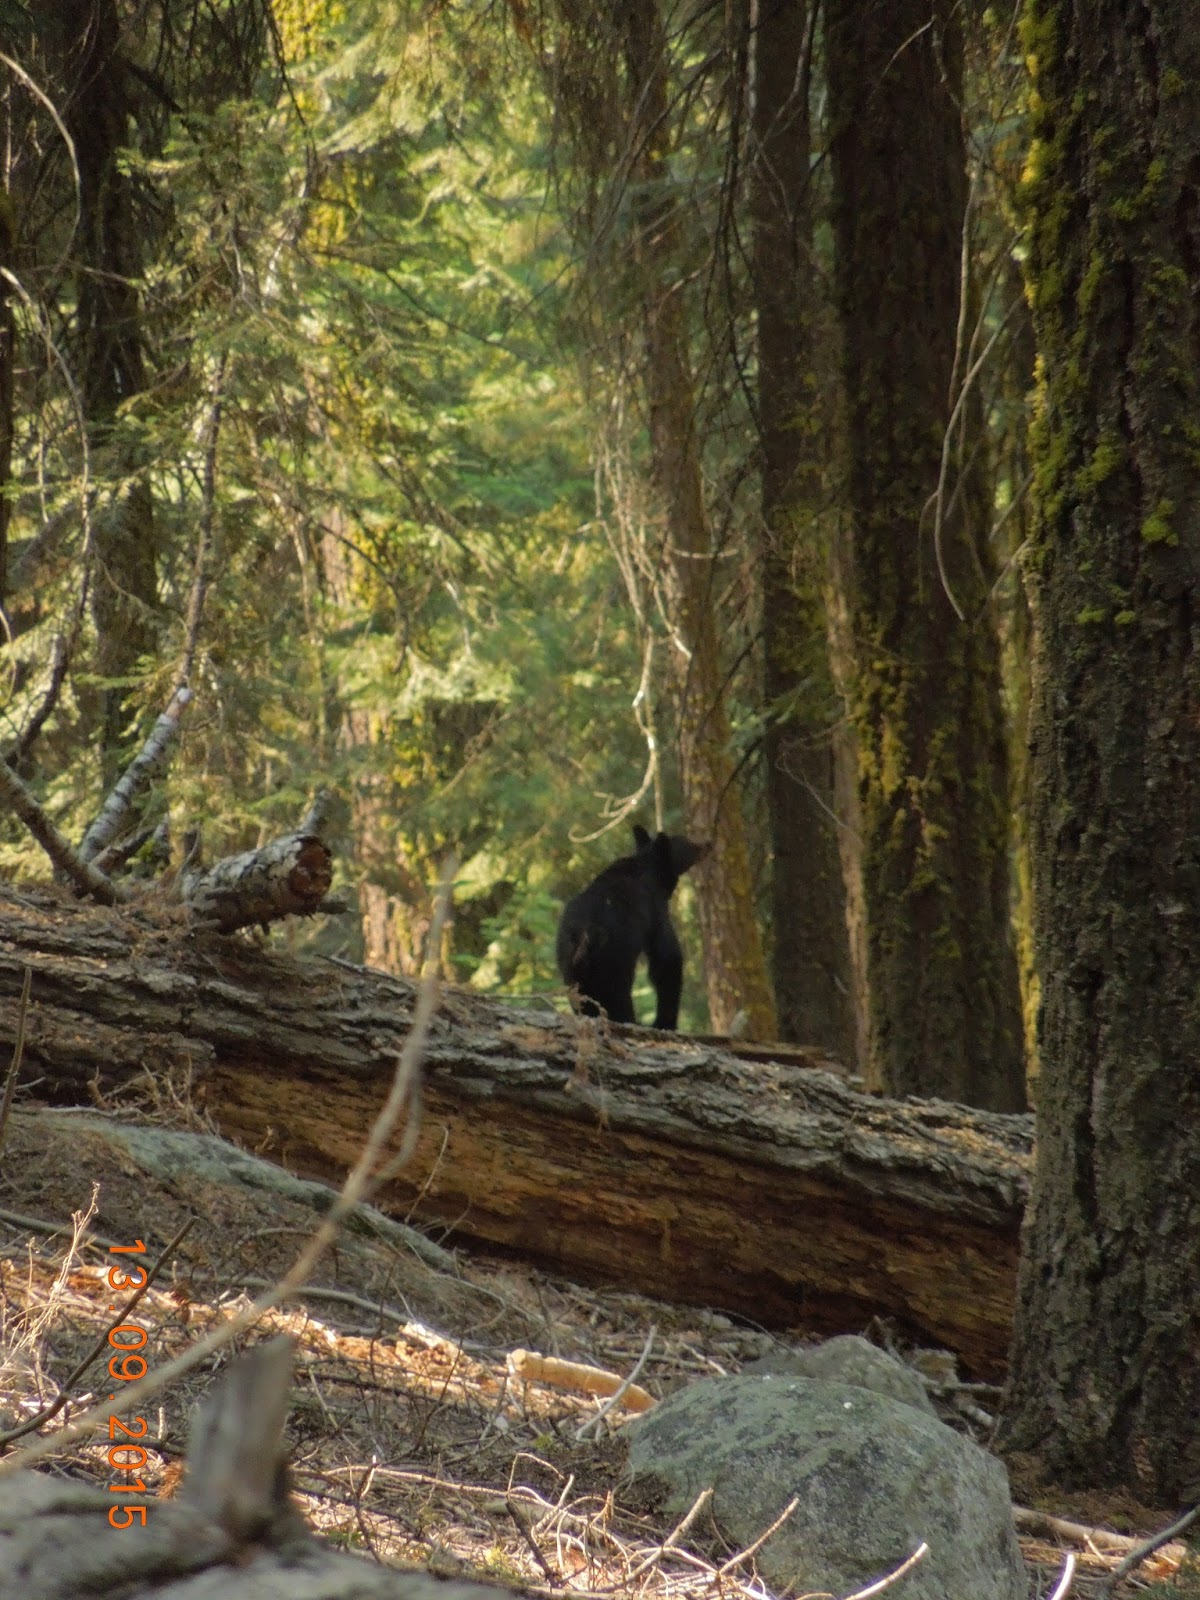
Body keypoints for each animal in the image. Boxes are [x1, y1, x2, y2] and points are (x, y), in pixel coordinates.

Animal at [556, 824, 708, 1029]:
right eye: (688, 843)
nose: (707, 843)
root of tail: (584, 934)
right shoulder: (656, 908)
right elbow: (667, 958)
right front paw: (664, 1022)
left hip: (569, 961)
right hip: (615, 955)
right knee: (617, 992)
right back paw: (629, 1019)